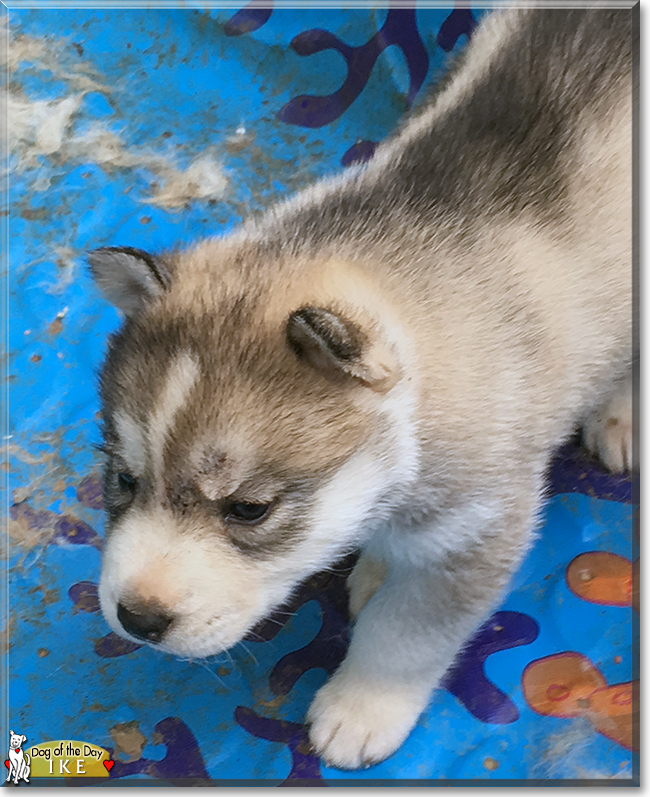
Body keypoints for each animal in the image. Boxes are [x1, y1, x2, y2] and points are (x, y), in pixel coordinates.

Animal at [90, 4, 632, 764]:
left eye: (250, 509)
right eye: (124, 478)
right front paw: (376, 562)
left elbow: (406, 632)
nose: (136, 618)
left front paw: (362, 707)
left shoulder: (480, 525)